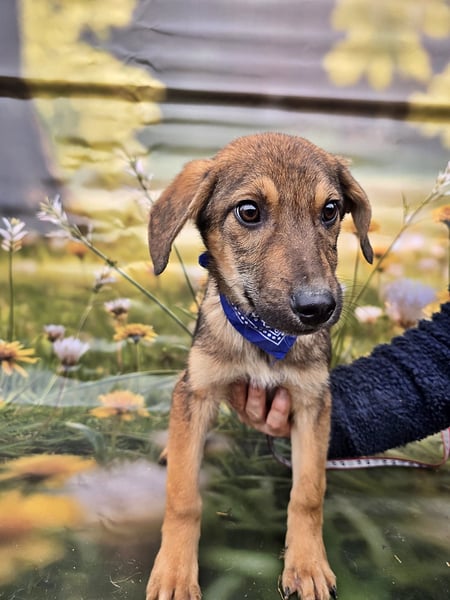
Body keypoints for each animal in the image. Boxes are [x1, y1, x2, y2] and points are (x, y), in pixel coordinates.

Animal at [146, 132, 373, 600]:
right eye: (249, 211)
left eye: (330, 210)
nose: (319, 308)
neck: (264, 337)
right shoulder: (196, 389)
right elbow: (183, 496)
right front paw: (175, 571)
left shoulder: (312, 401)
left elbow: (308, 493)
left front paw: (307, 565)